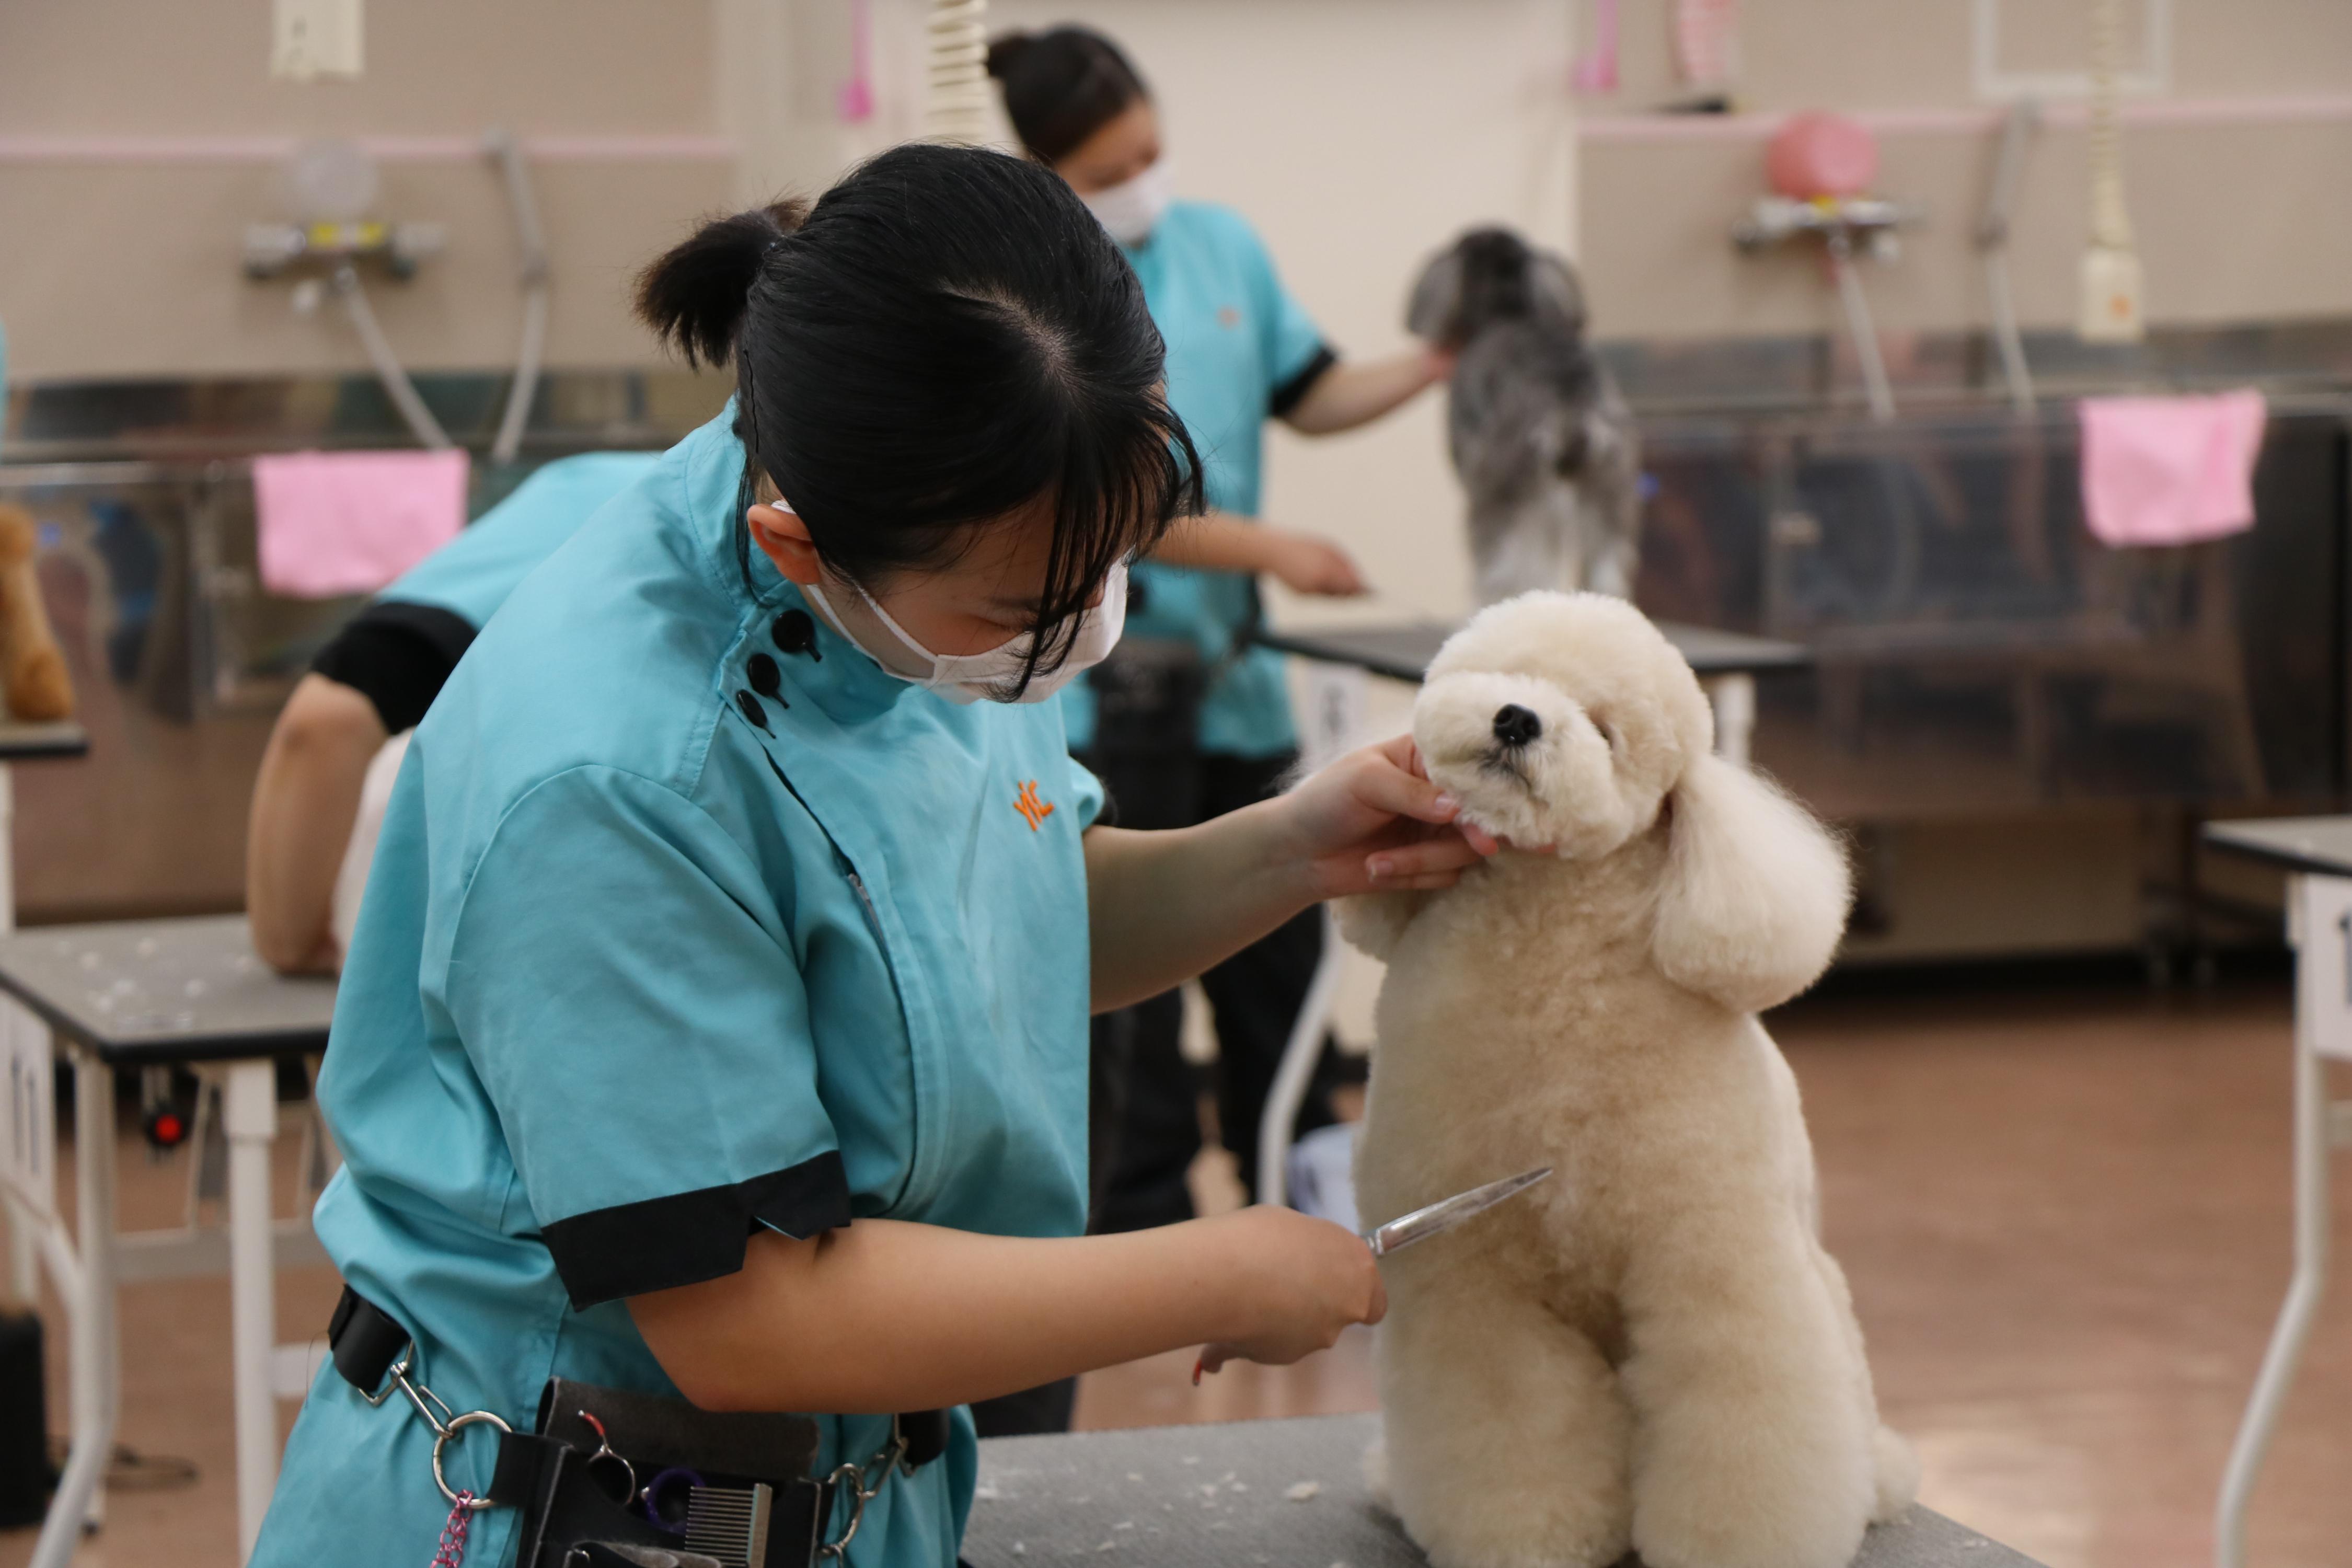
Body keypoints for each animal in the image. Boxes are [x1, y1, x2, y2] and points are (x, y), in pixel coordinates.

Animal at [1402, 230, 1646, 606]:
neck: (1503, 314)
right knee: (1608, 572)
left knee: (1507, 573)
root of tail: (1569, 396)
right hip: (1610, 492)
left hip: (1507, 498)